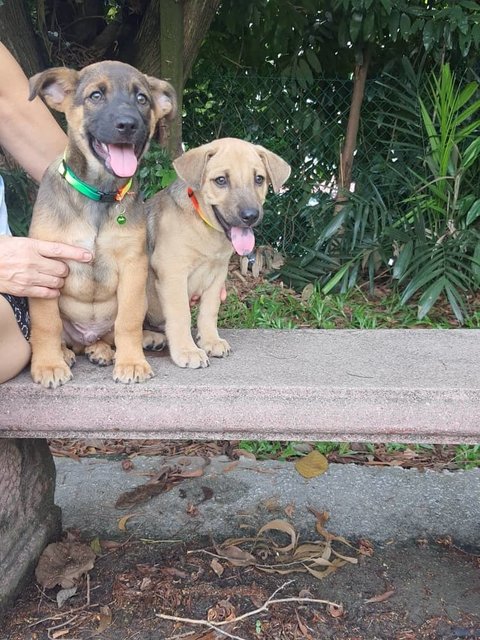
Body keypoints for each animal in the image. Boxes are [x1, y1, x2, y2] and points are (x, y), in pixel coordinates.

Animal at [27, 61, 176, 390]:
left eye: (142, 99)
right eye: (96, 95)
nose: (128, 124)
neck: (99, 194)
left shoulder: (133, 266)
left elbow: (128, 322)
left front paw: (131, 362)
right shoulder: (47, 265)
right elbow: (46, 324)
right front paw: (48, 365)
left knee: (110, 334)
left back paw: (110, 349)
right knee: (66, 339)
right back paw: (66, 353)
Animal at [144, 138, 290, 368]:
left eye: (259, 179)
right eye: (221, 180)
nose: (251, 216)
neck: (205, 229)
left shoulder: (217, 274)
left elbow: (209, 312)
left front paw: (210, 341)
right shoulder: (173, 273)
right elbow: (181, 314)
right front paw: (187, 350)